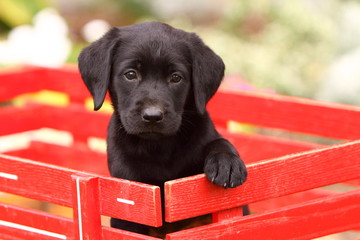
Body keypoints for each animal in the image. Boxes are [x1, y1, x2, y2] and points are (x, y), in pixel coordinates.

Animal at [78, 21, 248, 235]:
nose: (152, 116)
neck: (159, 147)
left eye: (176, 77)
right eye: (131, 74)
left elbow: (220, 142)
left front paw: (227, 164)